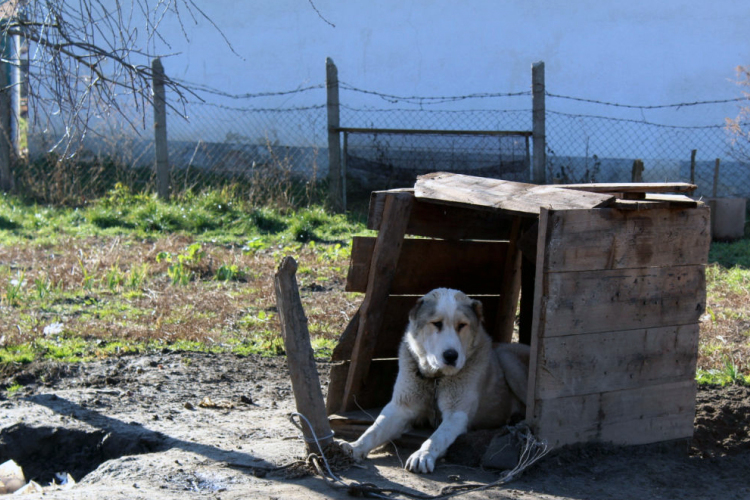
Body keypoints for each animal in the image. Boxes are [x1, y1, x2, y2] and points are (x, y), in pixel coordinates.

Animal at [340, 290, 528, 472]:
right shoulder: (400, 407)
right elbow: (374, 430)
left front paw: (423, 455)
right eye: (437, 323)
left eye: (462, 325)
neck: (436, 379)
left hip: (507, 359)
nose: (451, 356)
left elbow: (437, 436)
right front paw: (354, 447)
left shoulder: (456, 414)